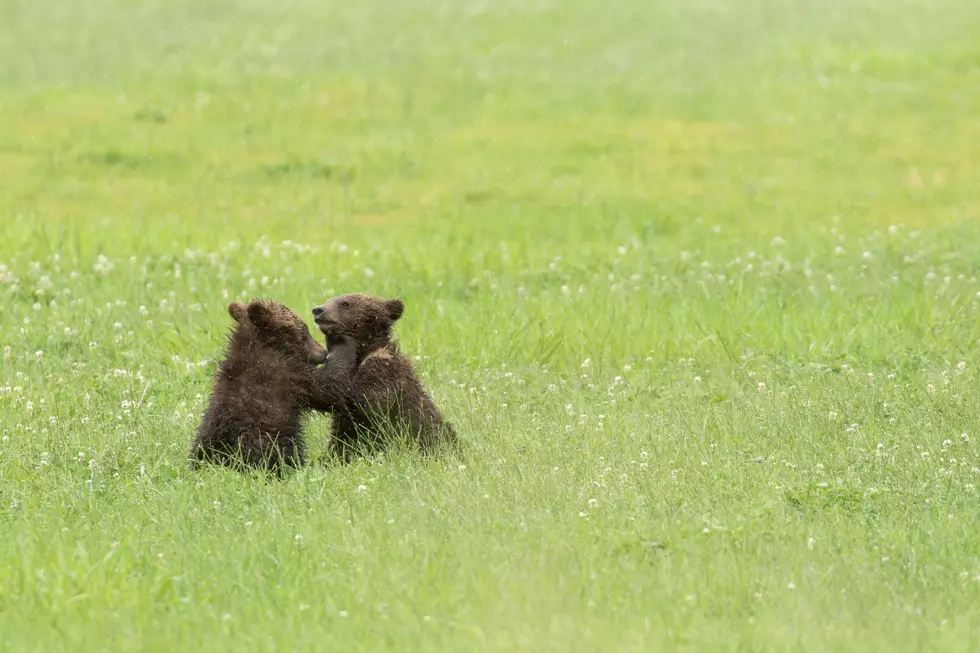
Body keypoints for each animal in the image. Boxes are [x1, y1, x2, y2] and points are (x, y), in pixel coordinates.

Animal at [308, 293, 456, 462]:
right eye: (328, 300)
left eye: (345, 303)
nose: (318, 310)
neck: (363, 351)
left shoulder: (384, 369)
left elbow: (369, 401)